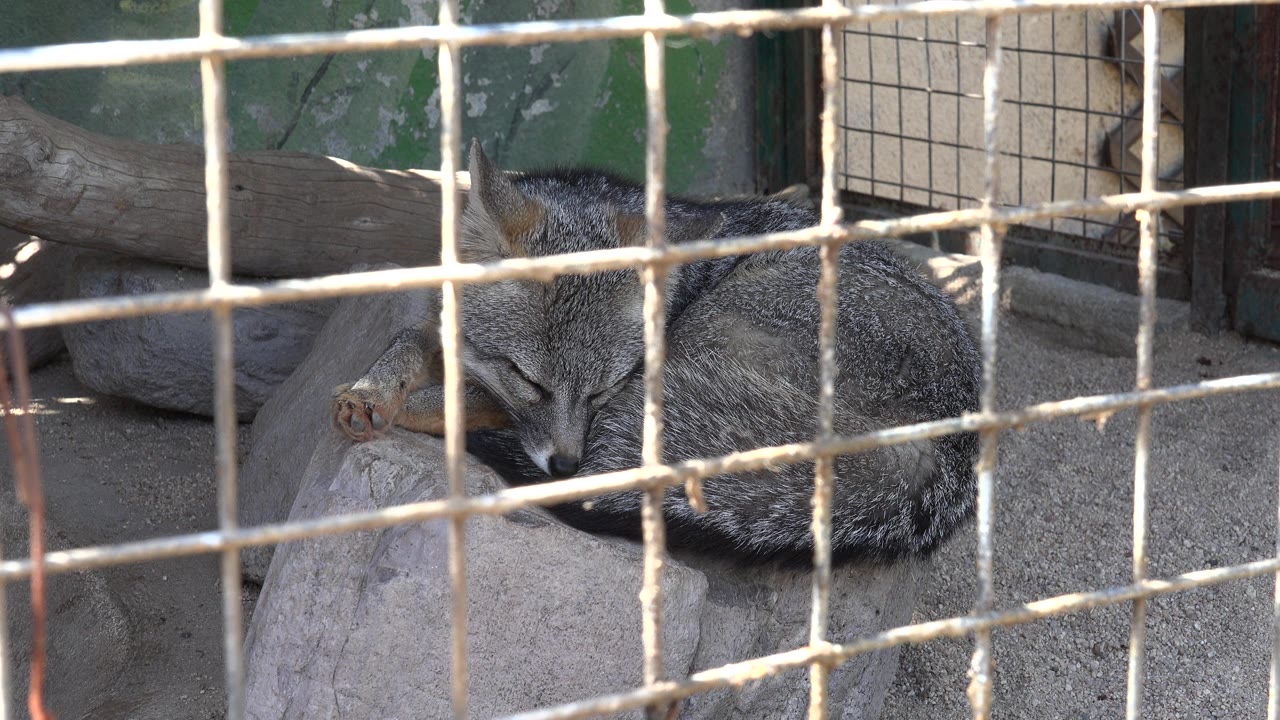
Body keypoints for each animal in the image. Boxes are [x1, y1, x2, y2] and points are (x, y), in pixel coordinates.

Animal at [332, 140, 982, 565]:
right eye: (529, 378)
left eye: (603, 388)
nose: (565, 467)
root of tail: (950, 445)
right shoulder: (444, 329)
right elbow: (406, 342)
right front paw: (370, 391)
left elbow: (467, 394)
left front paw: (414, 405)